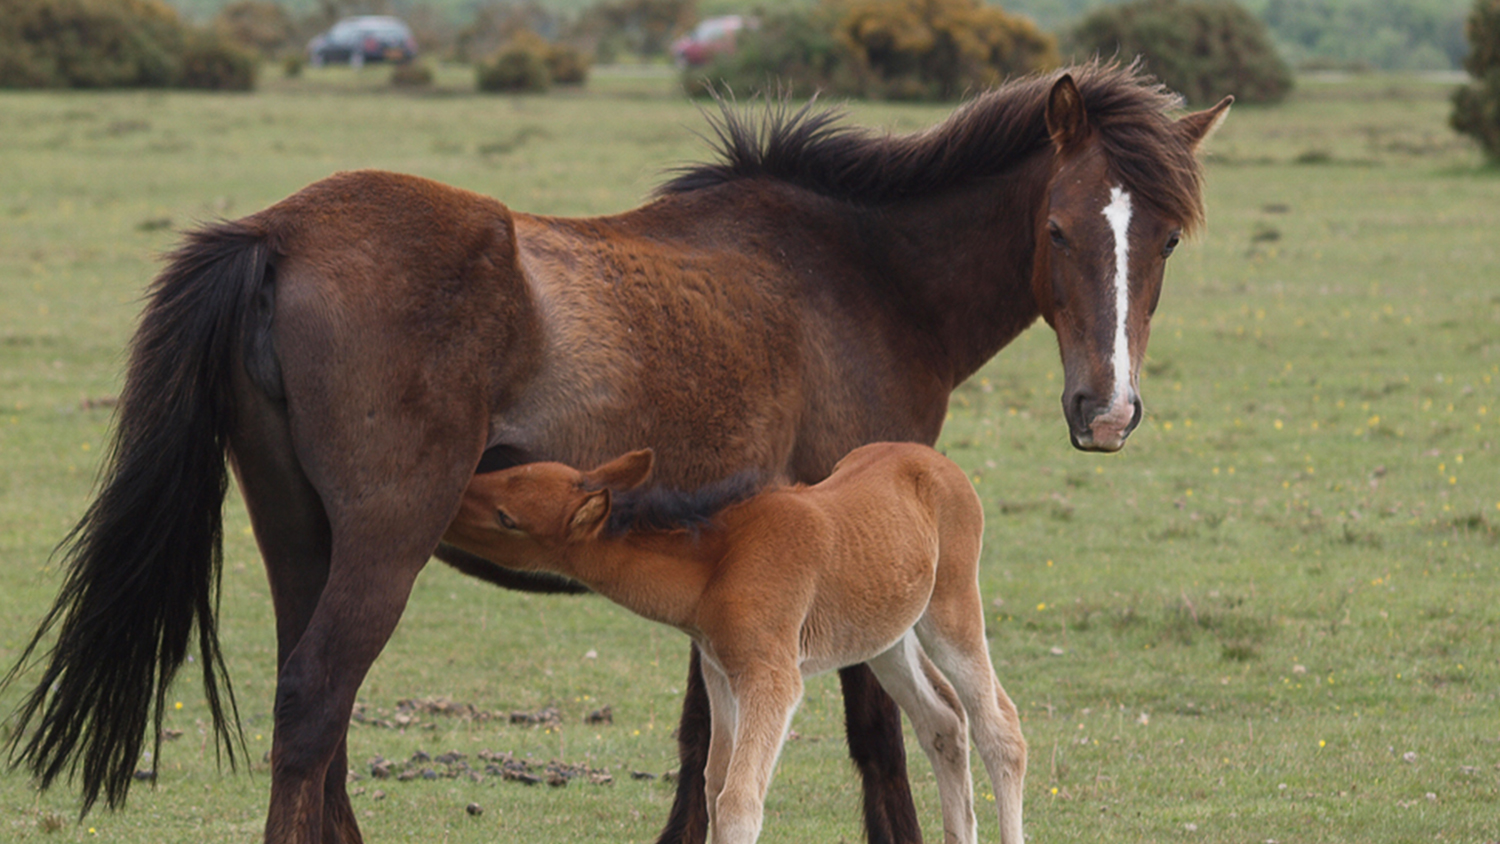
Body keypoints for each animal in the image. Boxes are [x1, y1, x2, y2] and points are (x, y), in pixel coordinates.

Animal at [444, 443, 1026, 844]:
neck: (716, 565)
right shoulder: (720, 671)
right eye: (508, 474)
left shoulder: (772, 678)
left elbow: (739, 800)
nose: (453, 499)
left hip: (951, 609)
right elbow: (713, 782)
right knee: (942, 723)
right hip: (883, 637)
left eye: (507, 518)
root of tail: (935, 461)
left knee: (1000, 729)